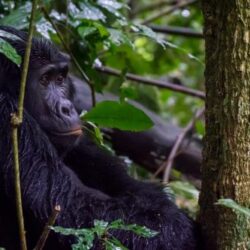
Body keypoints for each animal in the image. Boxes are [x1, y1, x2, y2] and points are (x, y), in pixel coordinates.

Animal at [0, 25, 200, 250]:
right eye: (43, 80)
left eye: (59, 79)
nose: (67, 108)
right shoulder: (7, 121)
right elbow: (77, 210)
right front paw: (179, 229)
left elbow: (129, 186)